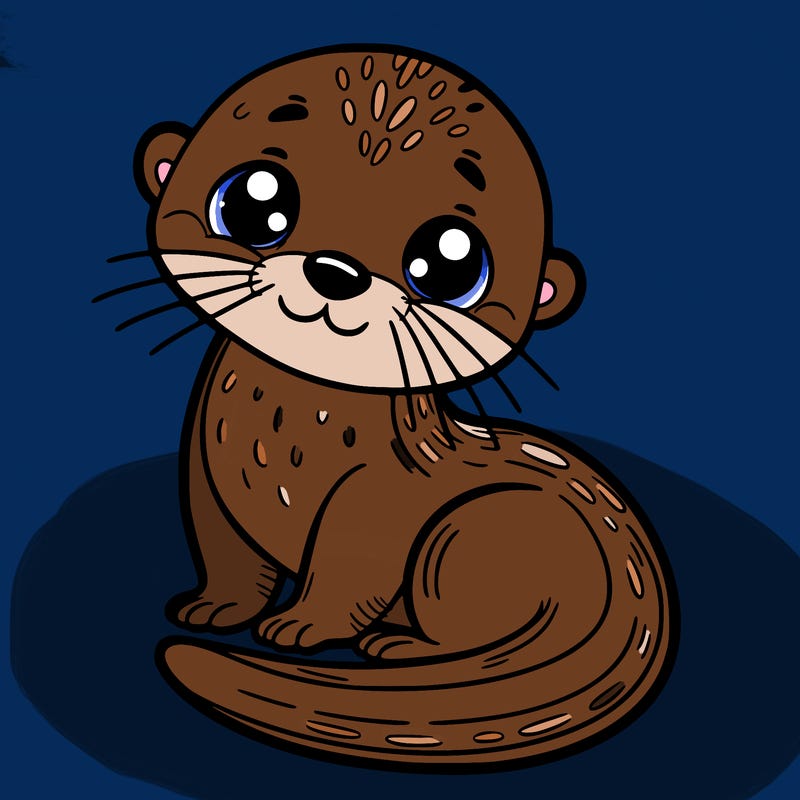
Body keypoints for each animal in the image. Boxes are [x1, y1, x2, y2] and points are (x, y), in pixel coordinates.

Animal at [123, 45, 677, 768]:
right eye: (253, 201)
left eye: (449, 262)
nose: (336, 270)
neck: (280, 438)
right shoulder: (203, 468)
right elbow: (226, 552)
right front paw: (217, 609)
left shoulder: (377, 496)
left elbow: (349, 570)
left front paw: (300, 624)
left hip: (468, 532)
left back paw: (401, 645)